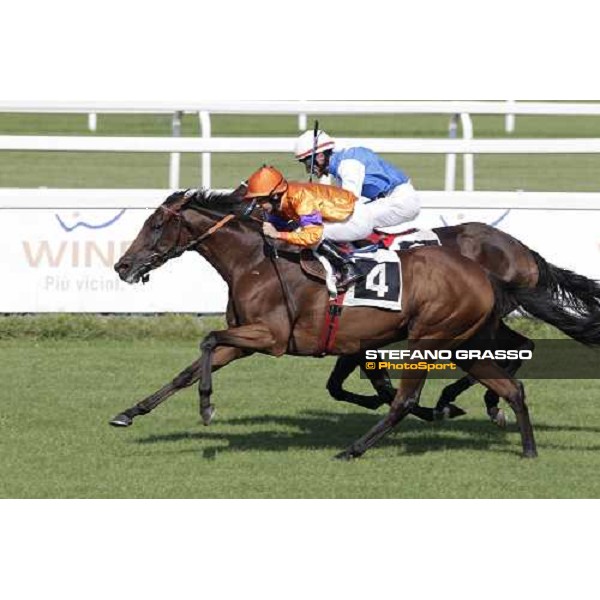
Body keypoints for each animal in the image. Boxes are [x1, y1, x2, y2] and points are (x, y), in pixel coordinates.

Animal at [112, 190, 540, 462]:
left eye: (155, 225)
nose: (122, 265)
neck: (254, 261)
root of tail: (484, 274)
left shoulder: (271, 336)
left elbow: (207, 339)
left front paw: (206, 406)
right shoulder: (245, 340)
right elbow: (187, 370)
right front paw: (130, 412)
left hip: (428, 340)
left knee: (405, 401)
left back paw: (354, 449)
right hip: (458, 341)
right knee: (512, 386)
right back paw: (526, 446)